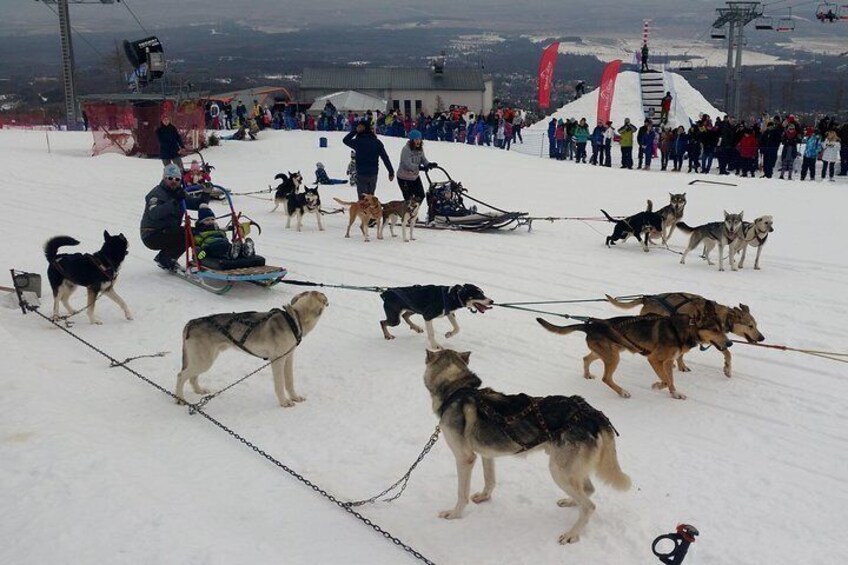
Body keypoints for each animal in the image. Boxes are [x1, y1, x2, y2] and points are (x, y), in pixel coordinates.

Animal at [176, 290, 328, 406]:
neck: (294, 318)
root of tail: (191, 323)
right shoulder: (277, 360)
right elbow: (280, 384)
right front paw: (284, 402)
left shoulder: (288, 358)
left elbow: (289, 382)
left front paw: (295, 397)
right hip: (204, 361)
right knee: (181, 375)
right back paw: (180, 399)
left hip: (204, 360)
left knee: (192, 378)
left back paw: (199, 391)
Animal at [424, 348, 628, 540]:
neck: (457, 388)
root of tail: (592, 413)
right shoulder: (487, 454)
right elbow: (489, 480)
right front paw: (484, 497)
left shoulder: (465, 458)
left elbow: (462, 493)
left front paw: (454, 514)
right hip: (570, 470)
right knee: (588, 490)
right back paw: (570, 501)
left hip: (559, 471)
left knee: (589, 506)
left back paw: (572, 534)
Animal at [536, 306, 728, 398]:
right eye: (715, 330)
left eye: (723, 329)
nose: (729, 343)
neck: (684, 329)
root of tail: (591, 325)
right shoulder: (654, 360)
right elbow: (666, 380)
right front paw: (657, 385)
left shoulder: (667, 362)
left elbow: (671, 381)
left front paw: (674, 394)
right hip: (613, 357)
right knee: (606, 378)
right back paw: (622, 392)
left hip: (607, 353)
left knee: (586, 358)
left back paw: (587, 374)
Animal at [608, 294, 764, 376]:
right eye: (751, 326)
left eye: (756, 325)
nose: (762, 338)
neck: (722, 315)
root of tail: (647, 299)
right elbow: (681, 355)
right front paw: (681, 365)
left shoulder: (717, 340)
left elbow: (727, 353)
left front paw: (727, 368)